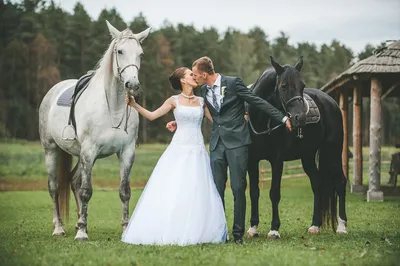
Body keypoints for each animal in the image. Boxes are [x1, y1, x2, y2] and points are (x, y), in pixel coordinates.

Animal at [38, 20, 150, 241]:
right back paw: (59, 228)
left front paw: (124, 230)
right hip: (52, 150)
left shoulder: (126, 152)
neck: (113, 107)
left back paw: (78, 223)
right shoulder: (89, 151)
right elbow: (86, 191)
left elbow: (124, 191)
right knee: (55, 188)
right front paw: (81, 233)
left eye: (140, 54)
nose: (132, 84)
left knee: (73, 181)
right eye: (120, 51)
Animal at [245, 56, 348, 239]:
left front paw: (274, 229)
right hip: (308, 157)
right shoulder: (252, 161)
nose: (300, 118)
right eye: (283, 86)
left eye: (302, 85)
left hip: (333, 152)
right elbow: (254, 192)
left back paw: (342, 227)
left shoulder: (277, 160)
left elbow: (274, 193)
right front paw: (253, 228)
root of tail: (331, 102)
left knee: (341, 182)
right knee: (317, 183)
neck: (262, 120)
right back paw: (315, 226)